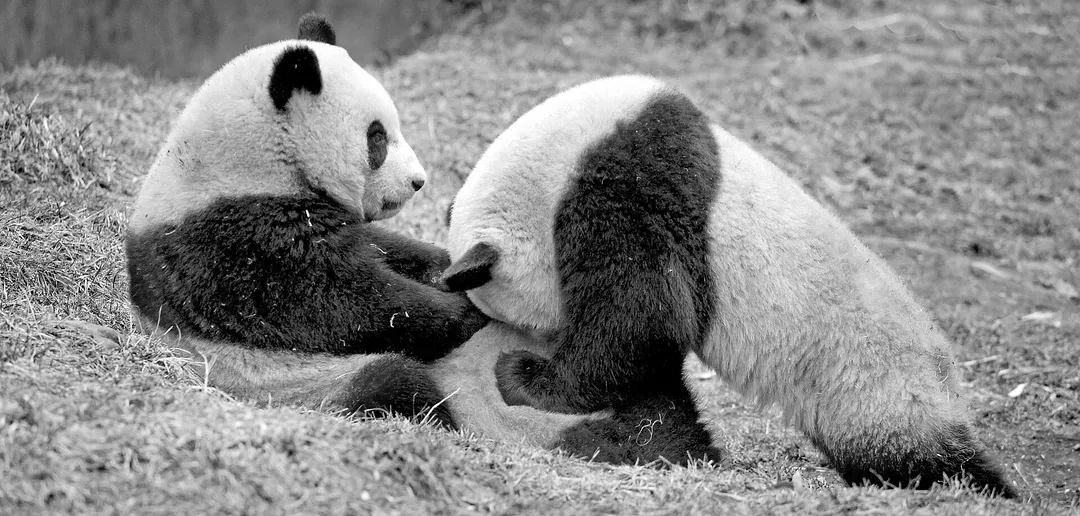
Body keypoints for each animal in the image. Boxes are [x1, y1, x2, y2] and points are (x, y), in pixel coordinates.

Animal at [125, 15, 719, 466]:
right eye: (377, 138)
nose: (418, 181)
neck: (241, 161)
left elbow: (388, 249)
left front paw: (449, 273)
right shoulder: (228, 236)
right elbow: (332, 301)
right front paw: (460, 314)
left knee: (647, 387)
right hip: (297, 382)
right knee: (393, 380)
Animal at [441, 75, 1018, 497]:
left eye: (516, 318)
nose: (524, 343)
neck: (562, 155)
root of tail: (944, 371)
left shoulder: (627, 189)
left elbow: (644, 317)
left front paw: (524, 376)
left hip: (873, 383)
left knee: (912, 449)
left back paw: (975, 487)